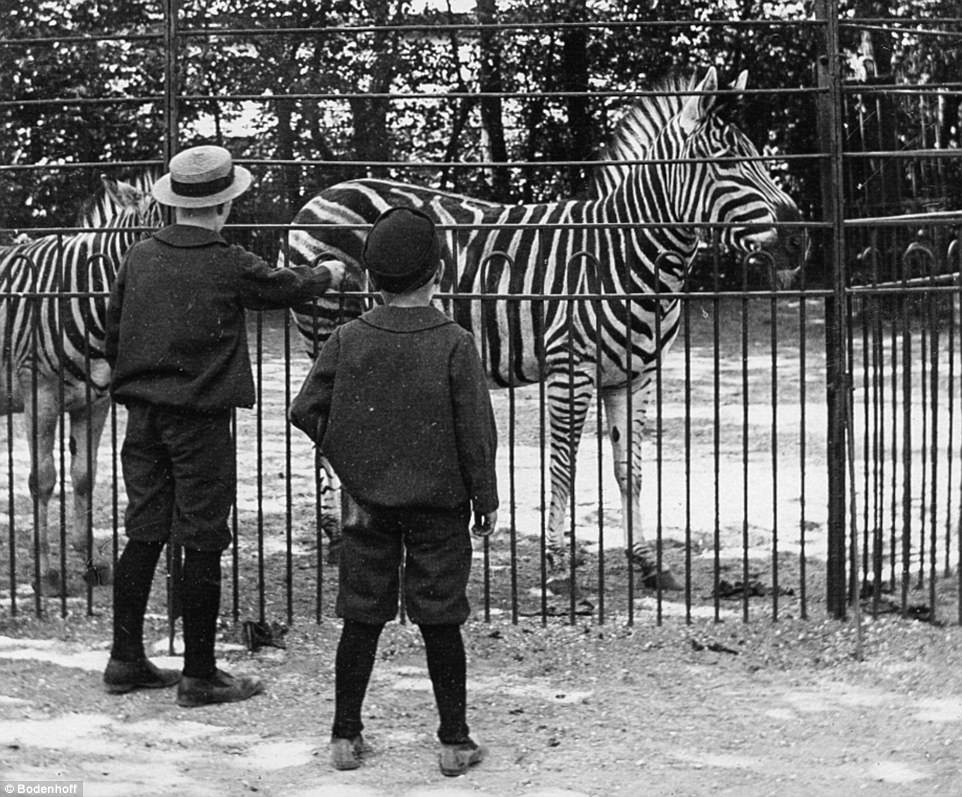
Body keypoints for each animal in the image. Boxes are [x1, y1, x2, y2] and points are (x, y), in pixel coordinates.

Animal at [0, 177, 158, 592]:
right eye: (150, 234)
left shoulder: (96, 401)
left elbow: (85, 477)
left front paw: (90, 563)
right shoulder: (39, 396)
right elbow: (42, 480)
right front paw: (46, 574)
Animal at [284, 68, 804, 588]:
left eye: (758, 156)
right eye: (728, 162)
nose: (801, 240)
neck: (623, 253)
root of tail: (318, 197)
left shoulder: (636, 376)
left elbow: (629, 470)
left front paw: (647, 560)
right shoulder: (570, 371)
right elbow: (563, 466)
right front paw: (556, 563)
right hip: (327, 330)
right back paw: (338, 539)